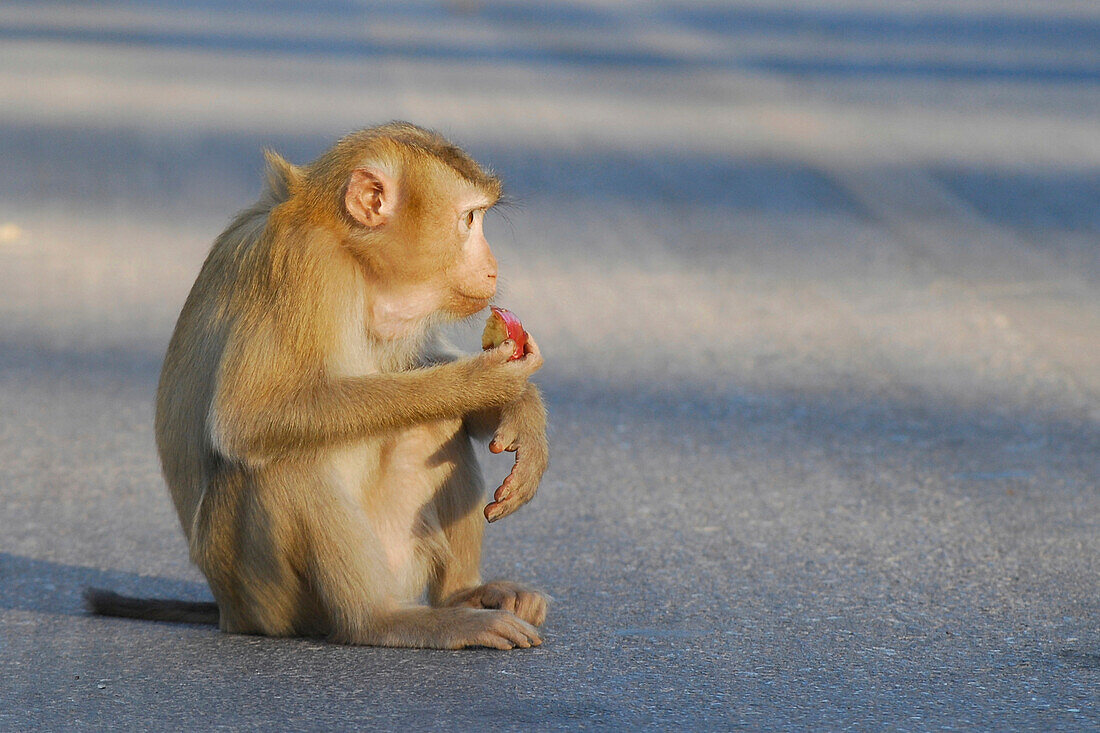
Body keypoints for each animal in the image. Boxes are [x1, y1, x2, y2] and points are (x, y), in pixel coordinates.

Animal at [83, 122, 550, 647]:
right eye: (469, 218)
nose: (493, 266)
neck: (352, 254)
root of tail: (227, 612)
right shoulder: (303, 266)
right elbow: (248, 417)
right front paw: (482, 383)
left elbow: (419, 360)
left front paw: (522, 407)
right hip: (267, 598)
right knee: (282, 463)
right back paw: (383, 620)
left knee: (433, 428)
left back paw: (462, 595)